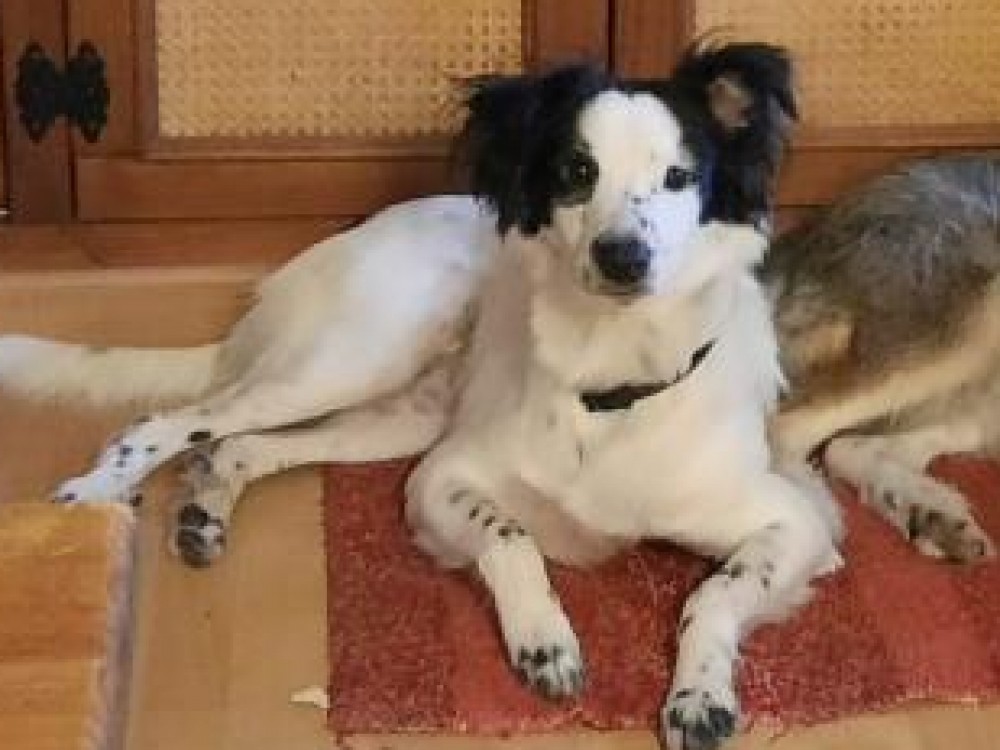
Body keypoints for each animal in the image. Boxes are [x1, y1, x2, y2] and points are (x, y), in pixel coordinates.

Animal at [0, 43, 992, 749]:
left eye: (681, 177)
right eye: (577, 172)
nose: (623, 257)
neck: (612, 387)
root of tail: (352, 237)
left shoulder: (793, 526)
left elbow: (718, 592)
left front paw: (699, 695)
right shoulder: (440, 482)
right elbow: (511, 538)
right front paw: (545, 641)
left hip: (395, 415)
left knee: (240, 445)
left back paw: (204, 511)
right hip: (359, 359)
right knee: (173, 420)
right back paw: (92, 502)